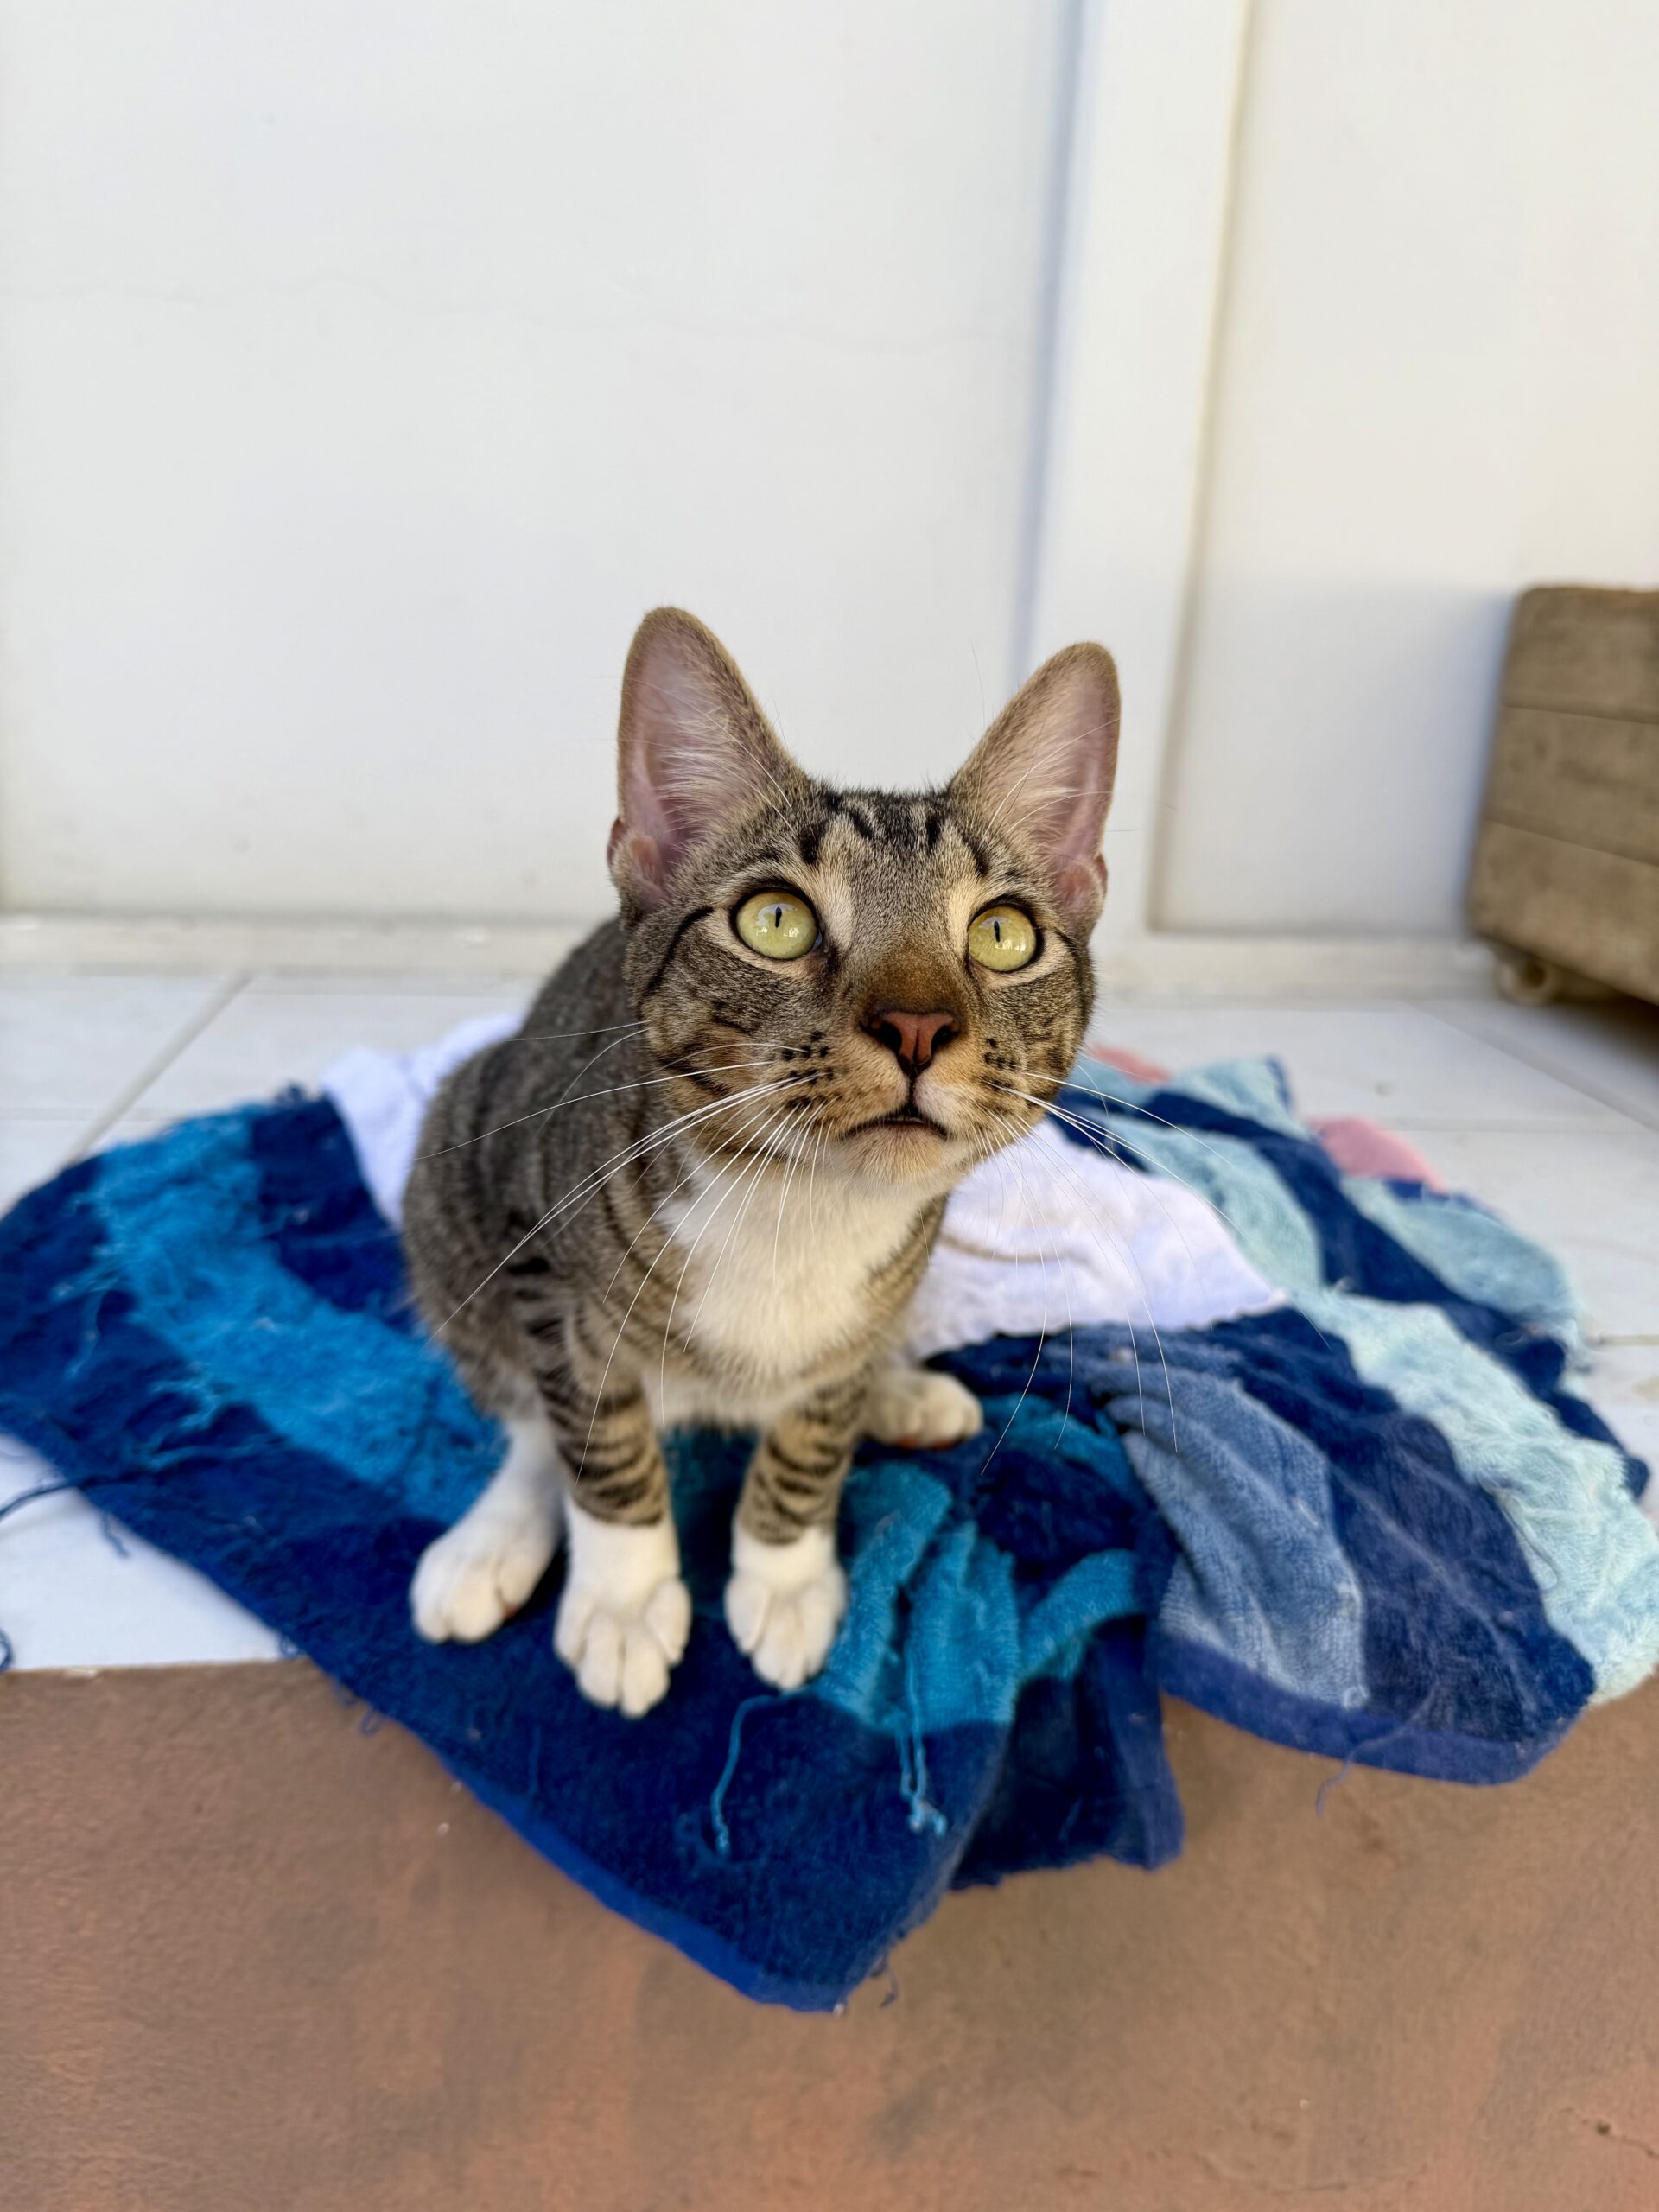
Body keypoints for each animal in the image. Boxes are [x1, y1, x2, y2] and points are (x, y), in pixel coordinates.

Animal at [403, 607, 1119, 1714]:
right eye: (774, 919)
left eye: (1004, 934)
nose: (919, 1024)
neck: (799, 1206)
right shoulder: (538, 1245)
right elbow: (594, 1438)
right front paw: (624, 1595)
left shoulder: (863, 1309)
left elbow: (818, 1426)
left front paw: (782, 1573)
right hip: (456, 1153)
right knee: (525, 1408)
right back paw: (497, 1534)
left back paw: (900, 1389)